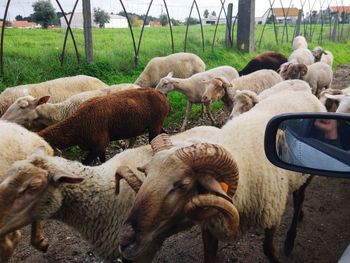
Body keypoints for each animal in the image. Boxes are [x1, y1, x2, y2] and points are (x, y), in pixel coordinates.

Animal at [38, 87, 170, 164]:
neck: (77, 126)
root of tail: (161, 94)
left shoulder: (99, 144)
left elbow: (86, 163)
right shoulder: (100, 146)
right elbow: (102, 160)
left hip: (155, 125)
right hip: (156, 125)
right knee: (165, 133)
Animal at [116, 89, 326, 263]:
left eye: (182, 185)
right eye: (146, 174)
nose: (124, 241)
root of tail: (305, 93)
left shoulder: (271, 213)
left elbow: (268, 250)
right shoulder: (210, 226)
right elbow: (209, 256)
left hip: (307, 175)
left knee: (299, 199)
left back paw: (291, 238)